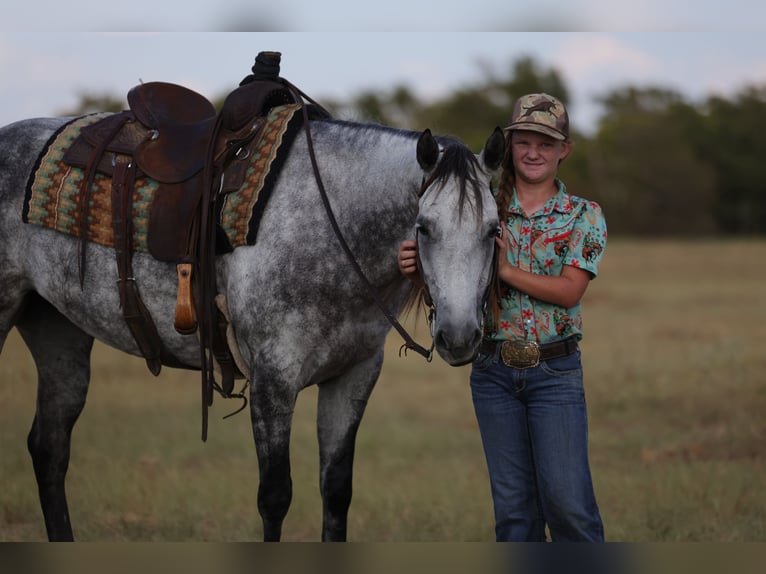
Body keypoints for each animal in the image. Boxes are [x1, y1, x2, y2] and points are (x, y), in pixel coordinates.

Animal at [0, 107, 505, 541]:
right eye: (423, 227)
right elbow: (275, 496)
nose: (460, 337)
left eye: (494, 230)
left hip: (58, 333)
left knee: (49, 448)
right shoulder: (273, 379)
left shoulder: (354, 375)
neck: (332, 224)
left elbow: (336, 490)